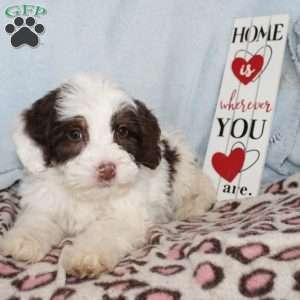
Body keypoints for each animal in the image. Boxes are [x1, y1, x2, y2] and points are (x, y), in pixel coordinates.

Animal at [0, 74, 216, 278]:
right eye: (75, 134)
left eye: (122, 131)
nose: (107, 169)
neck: (88, 195)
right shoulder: (46, 200)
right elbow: (38, 218)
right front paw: (24, 239)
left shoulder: (126, 215)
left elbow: (104, 231)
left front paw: (86, 255)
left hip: (184, 176)